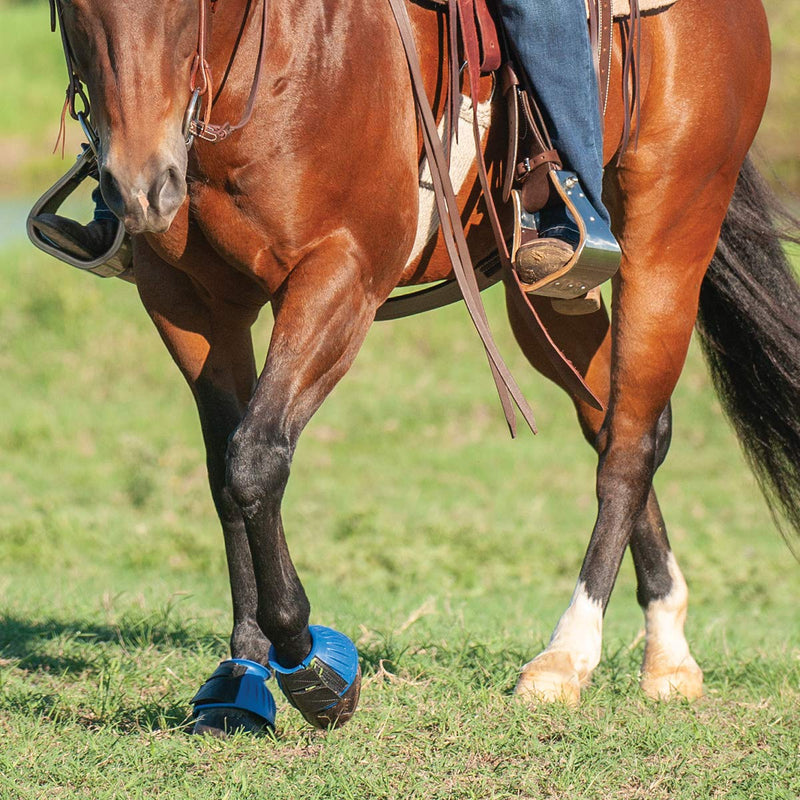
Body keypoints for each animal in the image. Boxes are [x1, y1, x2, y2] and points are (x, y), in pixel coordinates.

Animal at [50, 0, 800, 736]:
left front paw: (312, 667)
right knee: (620, 421)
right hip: (549, 291)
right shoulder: (187, 301)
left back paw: (565, 657)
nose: (141, 186)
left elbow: (254, 460)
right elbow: (224, 475)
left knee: (630, 445)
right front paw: (241, 675)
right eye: (76, 8)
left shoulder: (340, 276)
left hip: (671, 227)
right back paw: (668, 651)